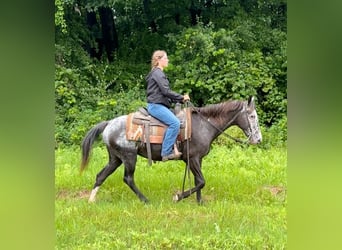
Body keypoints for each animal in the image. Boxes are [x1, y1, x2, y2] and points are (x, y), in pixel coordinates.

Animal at [79, 95, 262, 203]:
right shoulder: (193, 159)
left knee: (101, 175)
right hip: (129, 157)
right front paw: (178, 196)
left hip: (116, 158)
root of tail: (108, 124)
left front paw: (199, 202)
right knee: (128, 179)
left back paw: (91, 200)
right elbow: (201, 181)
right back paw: (145, 200)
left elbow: (199, 182)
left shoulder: (197, 160)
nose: (258, 139)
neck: (204, 124)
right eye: (252, 116)